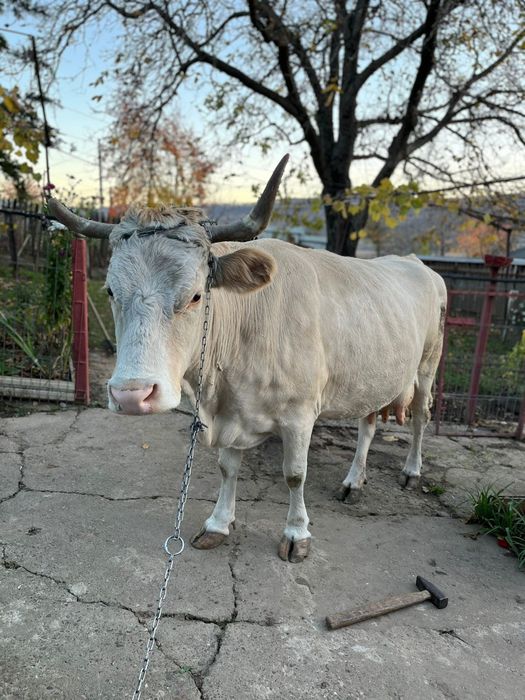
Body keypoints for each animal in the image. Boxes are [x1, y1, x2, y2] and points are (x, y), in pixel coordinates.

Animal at [48, 155, 447, 563]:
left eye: (195, 295)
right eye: (111, 291)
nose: (132, 395)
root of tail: (415, 262)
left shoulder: (300, 415)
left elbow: (295, 473)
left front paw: (297, 532)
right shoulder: (230, 408)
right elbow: (227, 467)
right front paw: (218, 523)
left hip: (428, 365)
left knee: (419, 417)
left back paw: (411, 471)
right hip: (376, 374)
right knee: (368, 422)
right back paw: (354, 480)